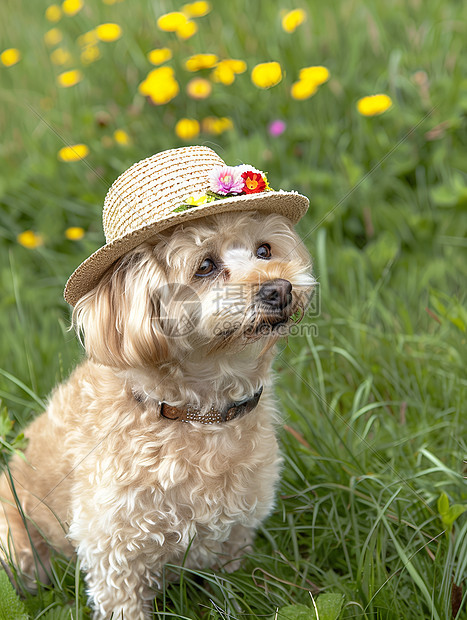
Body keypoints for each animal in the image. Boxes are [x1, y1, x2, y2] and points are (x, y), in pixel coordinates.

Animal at [0, 148, 314, 616]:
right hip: (15, 545)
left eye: (264, 249)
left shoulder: (234, 536)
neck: (198, 415)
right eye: (205, 266)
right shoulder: (115, 552)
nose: (279, 288)